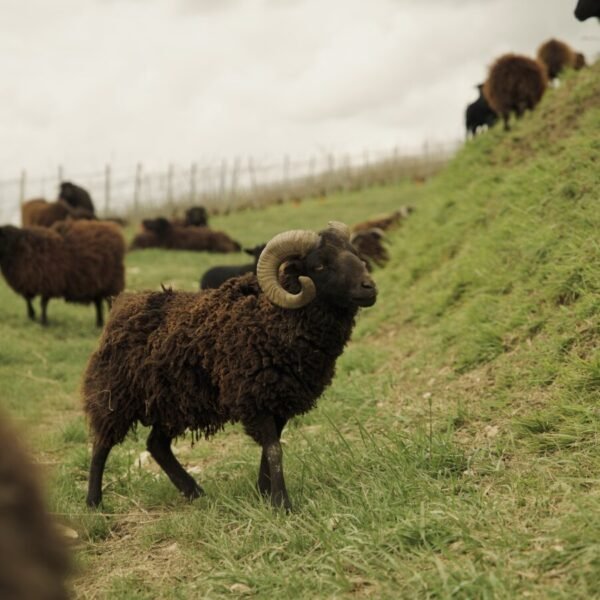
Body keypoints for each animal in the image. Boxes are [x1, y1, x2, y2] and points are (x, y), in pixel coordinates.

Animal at [82, 221, 378, 510]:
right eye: (319, 266)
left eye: (356, 254)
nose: (369, 288)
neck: (272, 318)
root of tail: (122, 305)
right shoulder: (254, 397)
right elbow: (274, 450)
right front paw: (282, 503)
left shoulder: (280, 398)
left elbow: (270, 449)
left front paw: (264, 493)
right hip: (116, 395)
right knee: (102, 444)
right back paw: (94, 502)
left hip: (173, 401)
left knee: (156, 444)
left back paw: (194, 492)